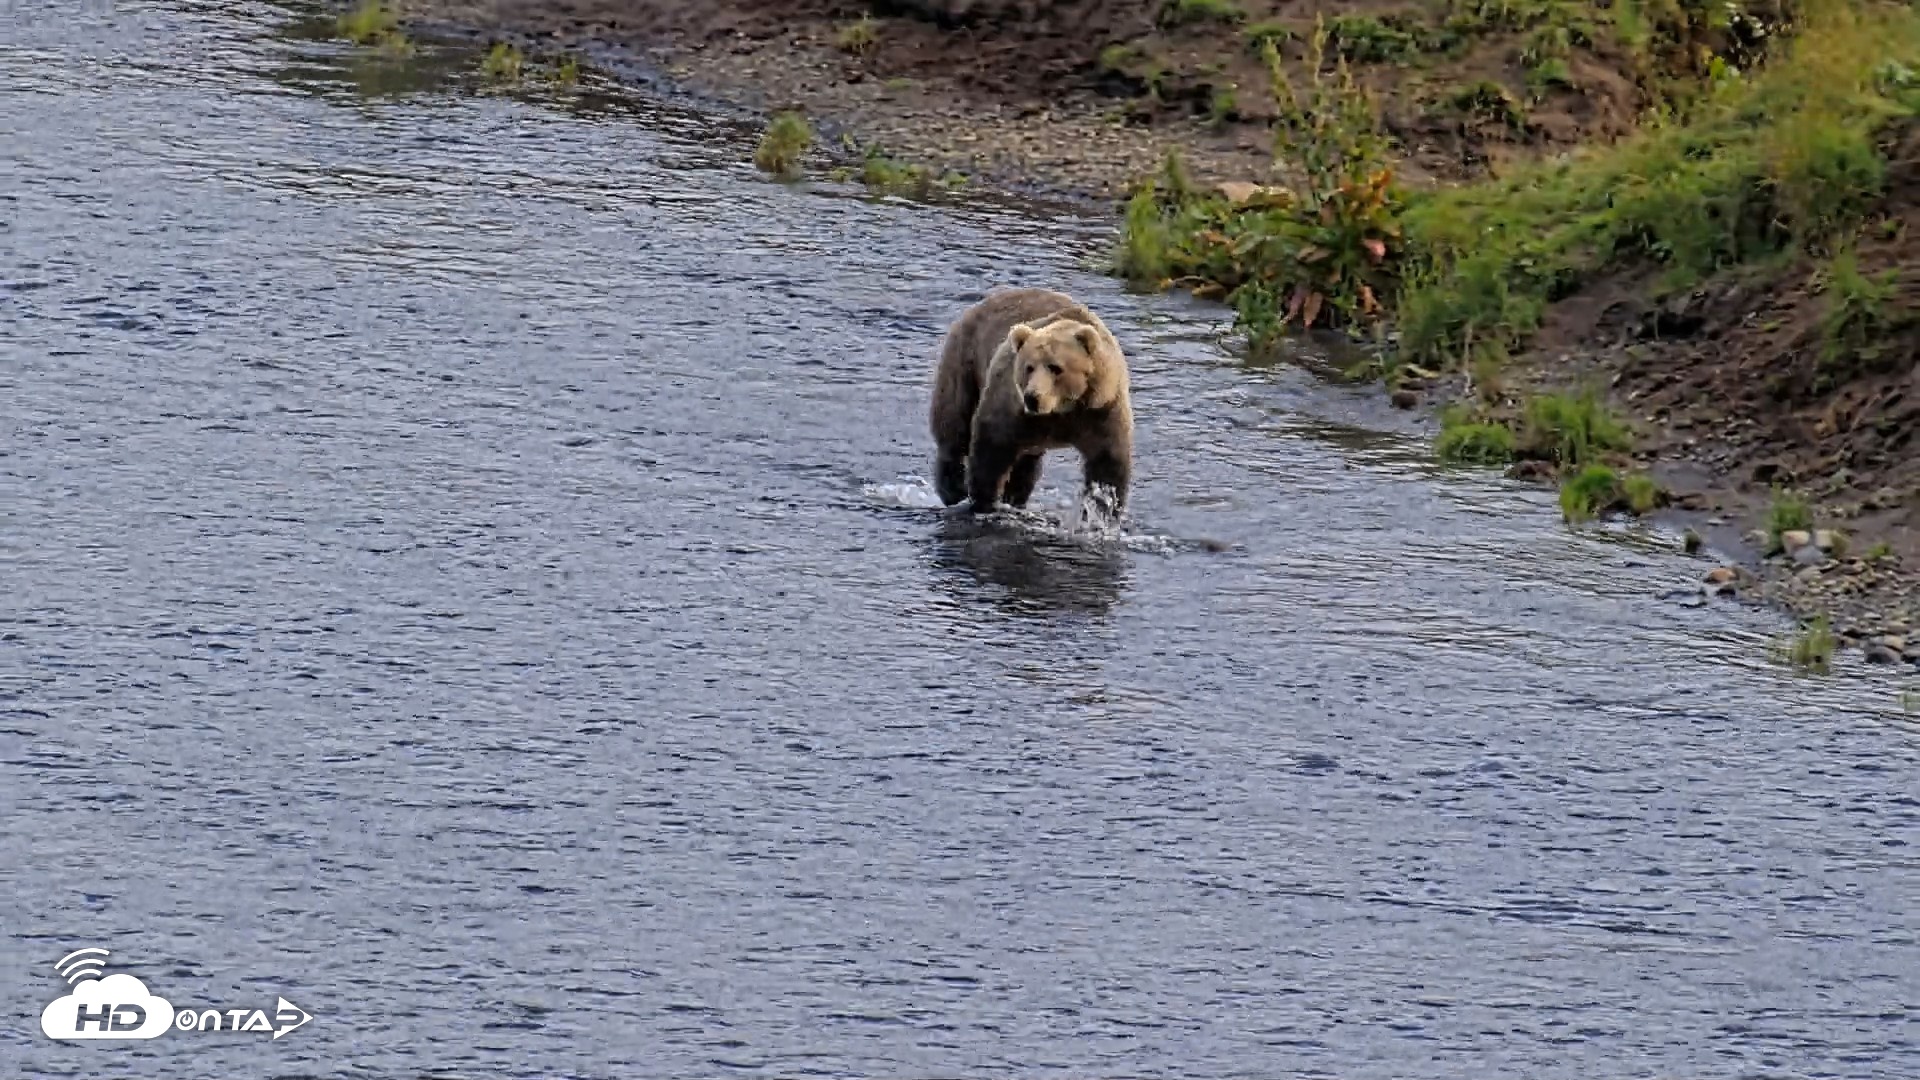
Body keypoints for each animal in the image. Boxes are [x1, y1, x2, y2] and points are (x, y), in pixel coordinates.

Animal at [927, 287, 1133, 515]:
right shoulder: (1012, 405)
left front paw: (1103, 506)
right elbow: (992, 446)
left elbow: (1107, 464)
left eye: (1056, 367)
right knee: (954, 425)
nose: (1032, 397)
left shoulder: (1100, 410)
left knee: (1026, 462)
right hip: (965, 363)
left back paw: (1015, 497)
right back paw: (953, 490)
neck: (1062, 409)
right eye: (1029, 367)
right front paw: (984, 500)